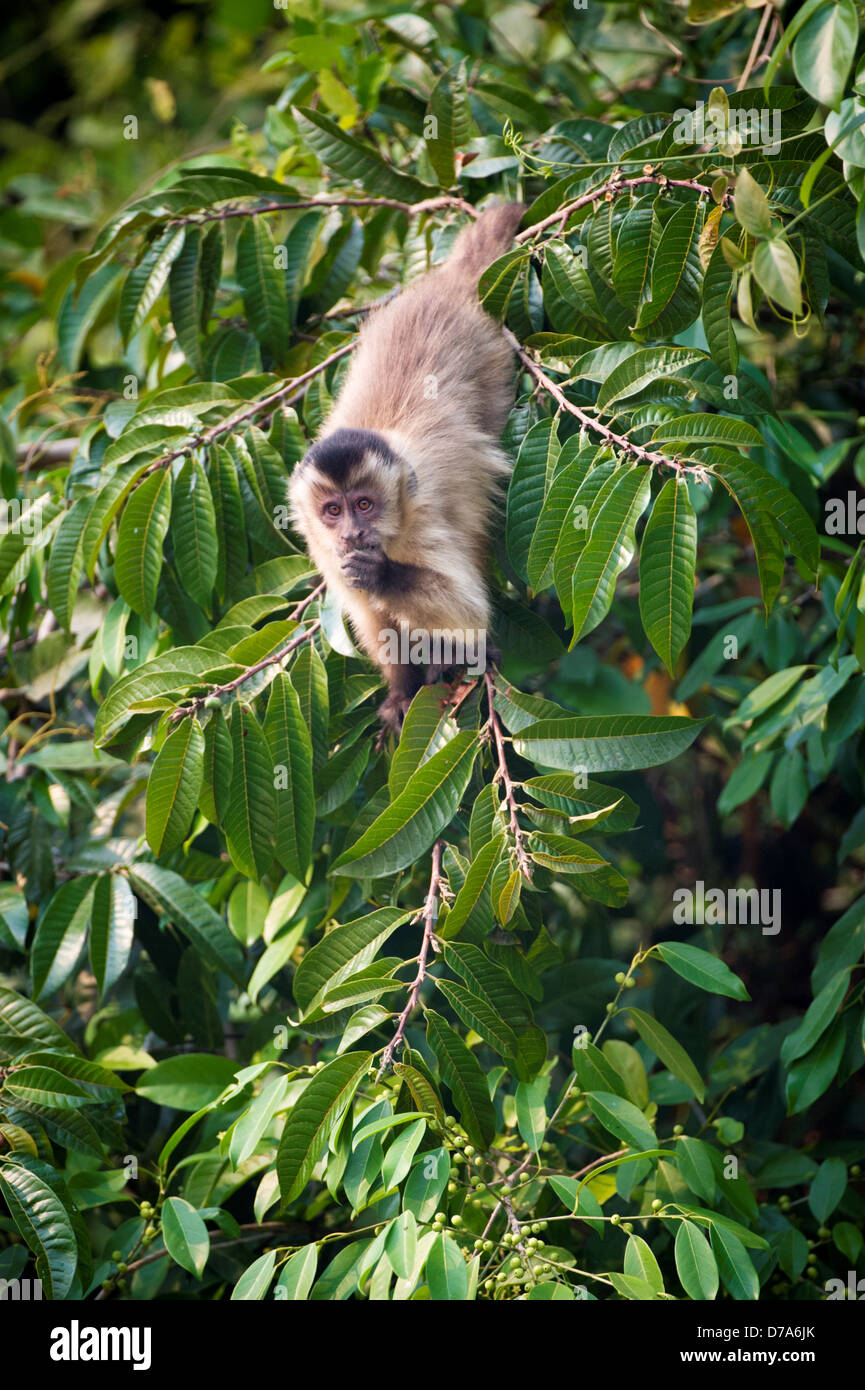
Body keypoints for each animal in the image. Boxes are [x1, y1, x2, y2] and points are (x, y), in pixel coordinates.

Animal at [289, 204, 522, 733]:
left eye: (365, 505)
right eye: (333, 511)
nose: (353, 534)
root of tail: (449, 288)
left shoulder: (421, 519)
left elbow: (467, 609)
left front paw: (382, 576)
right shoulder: (321, 545)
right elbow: (373, 619)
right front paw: (400, 690)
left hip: (493, 361)